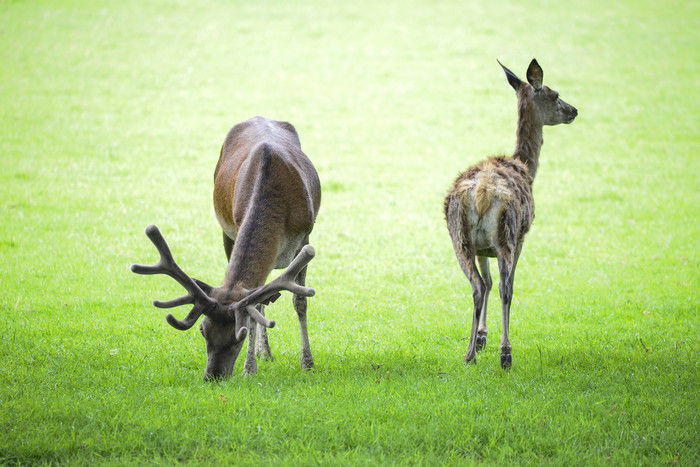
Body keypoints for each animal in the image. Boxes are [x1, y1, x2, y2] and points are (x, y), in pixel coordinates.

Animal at [130, 116, 322, 380]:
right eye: (203, 330)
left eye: (237, 337)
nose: (213, 376)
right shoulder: (234, 228)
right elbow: (257, 305)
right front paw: (250, 368)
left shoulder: (305, 237)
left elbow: (299, 302)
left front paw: (308, 363)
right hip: (226, 232)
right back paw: (264, 353)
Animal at [446, 60, 576, 372]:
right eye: (555, 94)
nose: (574, 110)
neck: (526, 166)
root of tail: (480, 194)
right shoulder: (522, 238)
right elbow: (507, 285)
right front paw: (495, 344)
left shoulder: (483, 248)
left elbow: (489, 282)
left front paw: (482, 336)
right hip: (507, 231)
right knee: (504, 287)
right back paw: (504, 353)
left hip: (460, 238)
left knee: (478, 286)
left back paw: (469, 353)